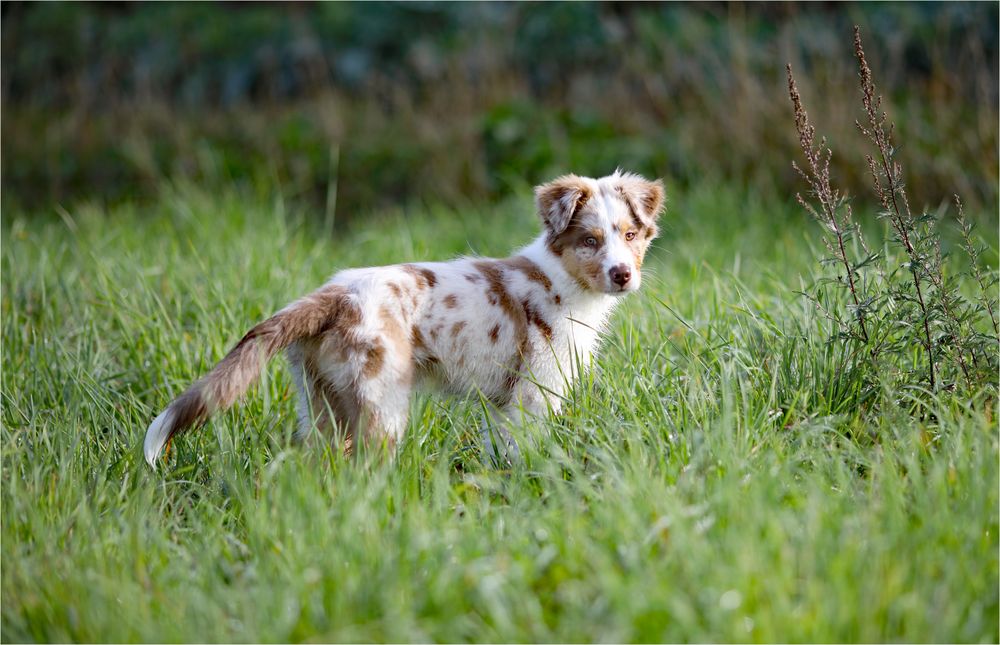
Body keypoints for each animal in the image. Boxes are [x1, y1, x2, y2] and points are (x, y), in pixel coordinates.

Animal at [145, 169, 664, 466]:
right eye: (590, 241)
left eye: (631, 234)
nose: (622, 275)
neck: (563, 282)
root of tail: (331, 294)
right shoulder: (533, 395)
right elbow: (525, 450)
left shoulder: (504, 404)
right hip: (381, 402)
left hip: (323, 402)